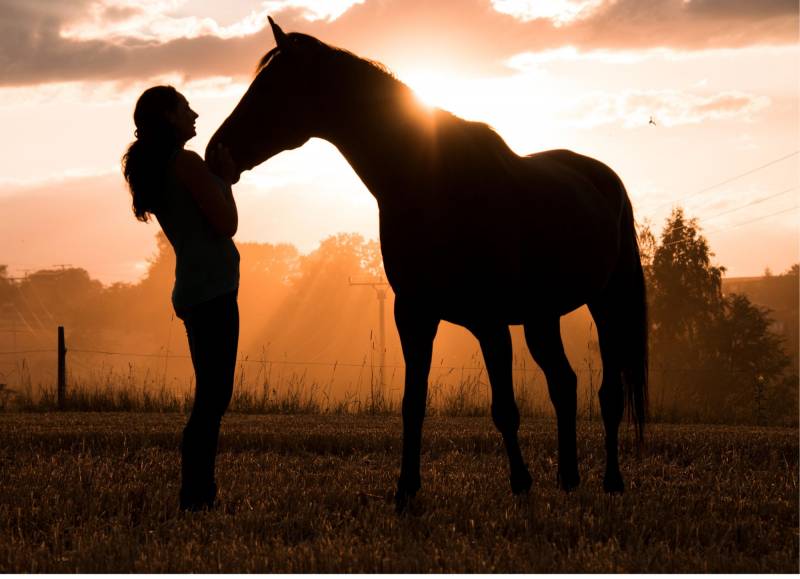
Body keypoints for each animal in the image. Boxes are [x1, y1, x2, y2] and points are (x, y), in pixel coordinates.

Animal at [203, 17, 648, 512]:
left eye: (271, 88)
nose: (215, 151)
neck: (432, 183)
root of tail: (605, 179)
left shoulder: (489, 321)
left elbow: (504, 409)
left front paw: (520, 483)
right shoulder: (413, 314)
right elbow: (412, 404)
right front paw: (405, 490)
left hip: (607, 305)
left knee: (609, 393)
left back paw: (612, 480)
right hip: (541, 317)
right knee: (564, 384)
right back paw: (568, 477)